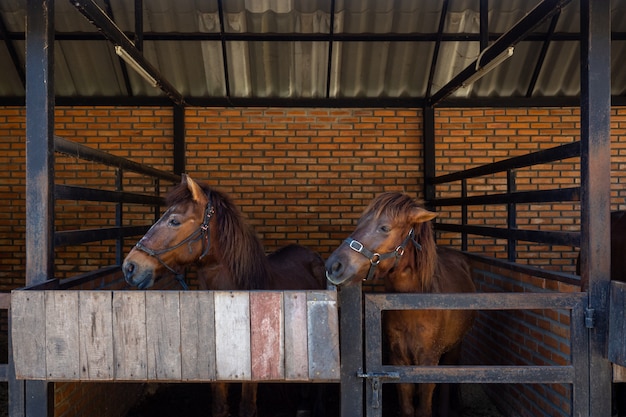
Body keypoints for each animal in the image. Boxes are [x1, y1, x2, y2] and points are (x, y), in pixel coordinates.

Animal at [322, 192, 472, 416]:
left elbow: (424, 408)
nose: (333, 265)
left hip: (454, 349)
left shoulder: (428, 362)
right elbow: (407, 406)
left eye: (384, 228)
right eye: (359, 222)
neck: (414, 310)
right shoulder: (397, 361)